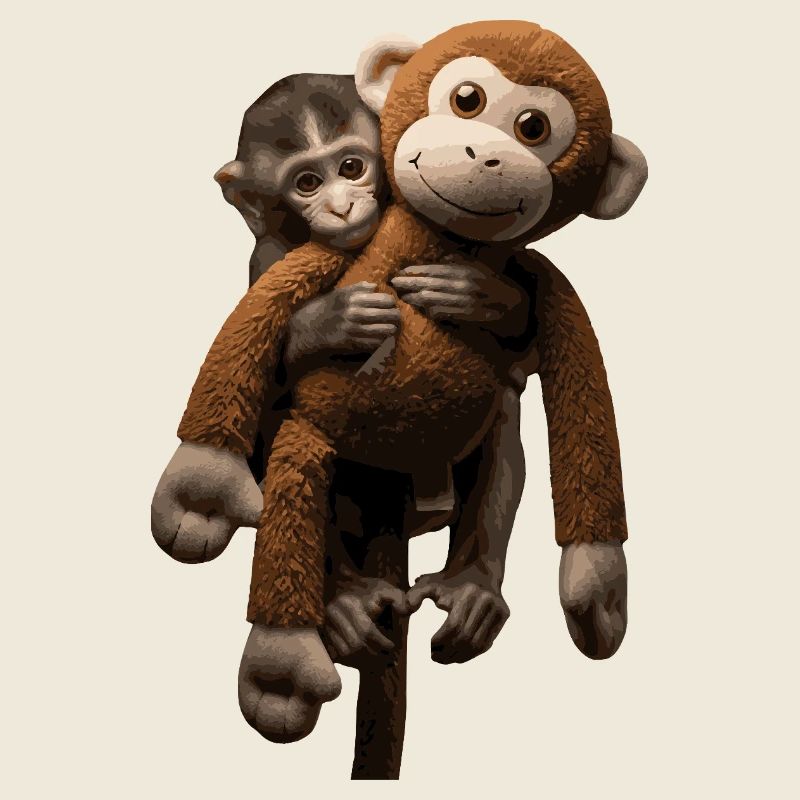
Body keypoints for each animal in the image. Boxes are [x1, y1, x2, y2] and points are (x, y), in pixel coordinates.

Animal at [153, 21, 647, 778]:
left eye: (352, 167)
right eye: (306, 181)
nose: (340, 205)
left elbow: (522, 353)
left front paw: (485, 297)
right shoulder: (268, 255)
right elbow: (267, 368)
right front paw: (330, 321)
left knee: (502, 410)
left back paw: (473, 583)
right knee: (283, 436)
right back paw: (340, 607)